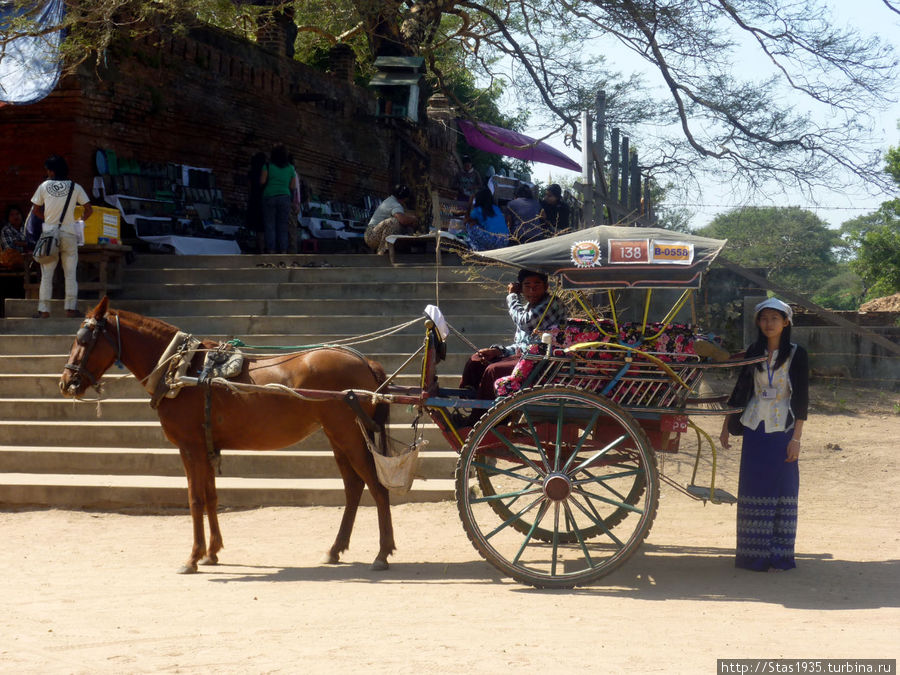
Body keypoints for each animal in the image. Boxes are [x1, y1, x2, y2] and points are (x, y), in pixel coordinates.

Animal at [57, 298, 394, 572]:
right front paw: (211, 552)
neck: (182, 369)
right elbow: (210, 495)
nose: (66, 382)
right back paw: (336, 549)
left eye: (84, 339)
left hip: (349, 434)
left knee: (377, 486)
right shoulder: (206, 445)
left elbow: (194, 498)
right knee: (353, 487)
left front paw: (193, 557)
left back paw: (382, 553)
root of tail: (366, 362)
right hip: (338, 436)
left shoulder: (190, 446)